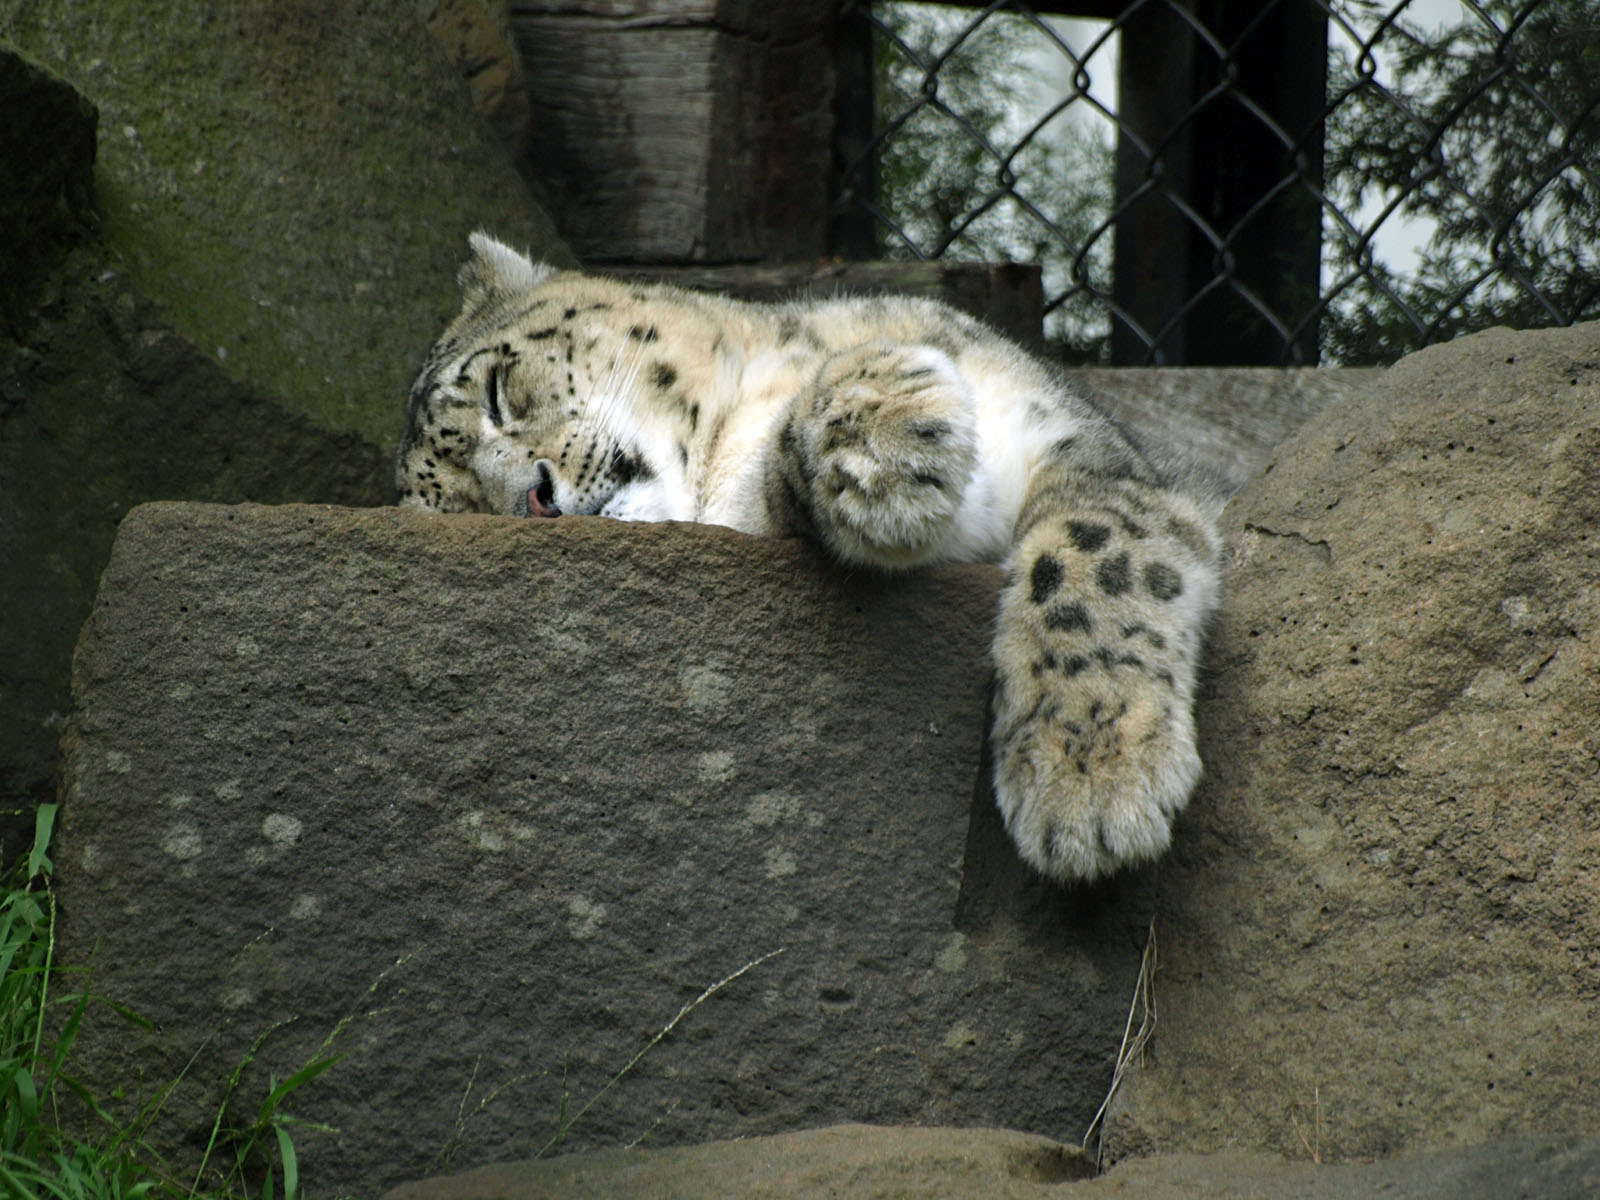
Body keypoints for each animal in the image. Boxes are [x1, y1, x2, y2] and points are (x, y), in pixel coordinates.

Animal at [396, 233, 1222, 883]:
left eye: (499, 388)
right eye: (463, 513)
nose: (533, 499)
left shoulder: (1069, 440)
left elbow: (1086, 557)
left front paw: (1091, 767)